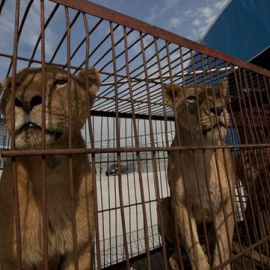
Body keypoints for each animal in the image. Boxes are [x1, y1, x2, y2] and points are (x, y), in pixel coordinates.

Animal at [162, 82, 236, 270]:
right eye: (191, 98)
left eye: (218, 95)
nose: (218, 109)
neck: (203, 154)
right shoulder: (180, 204)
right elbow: (194, 250)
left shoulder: (227, 202)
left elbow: (223, 245)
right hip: (163, 203)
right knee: (179, 245)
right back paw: (176, 260)